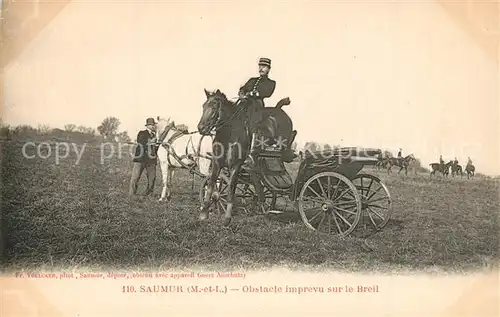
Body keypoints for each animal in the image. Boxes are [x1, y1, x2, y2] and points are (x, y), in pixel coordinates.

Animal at [197, 89, 294, 226]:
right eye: (204, 106)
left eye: (214, 106)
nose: (201, 128)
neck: (228, 134)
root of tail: (278, 109)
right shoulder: (216, 163)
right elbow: (211, 185)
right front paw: (204, 213)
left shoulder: (235, 166)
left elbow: (231, 189)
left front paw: (227, 218)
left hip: (283, 137)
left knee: (291, 136)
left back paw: (288, 154)